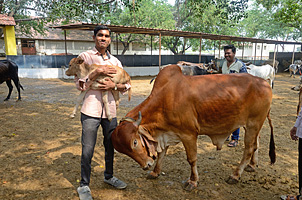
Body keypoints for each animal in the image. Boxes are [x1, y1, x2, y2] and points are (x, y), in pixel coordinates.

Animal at [111, 64, 276, 191]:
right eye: (122, 151)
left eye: (135, 142)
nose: (146, 165)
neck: (165, 98)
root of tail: (265, 83)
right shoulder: (165, 133)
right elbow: (161, 154)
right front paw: (155, 172)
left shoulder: (188, 135)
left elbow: (191, 159)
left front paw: (192, 181)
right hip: (254, 125)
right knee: (256, 144)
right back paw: (252, 165)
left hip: (253, 124)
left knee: (248, 148)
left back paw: (235, 175)